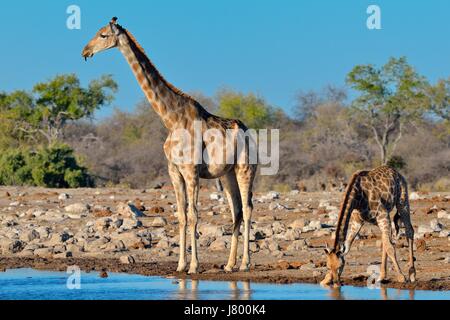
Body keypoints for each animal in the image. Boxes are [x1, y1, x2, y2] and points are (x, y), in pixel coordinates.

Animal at [81, 16, 256, 276]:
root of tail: (250, 134)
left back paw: (244, 263)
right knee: (236, 211)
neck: (171, 119)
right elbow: (182, 216)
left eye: (103, 35)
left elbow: (193, 215)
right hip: (227, 174)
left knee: (247, 207)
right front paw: (180, 264)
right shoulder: (174, 171)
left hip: (246, 169)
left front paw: (194, 266)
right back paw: (228, 264)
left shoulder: (191, 171)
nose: (85, 51)